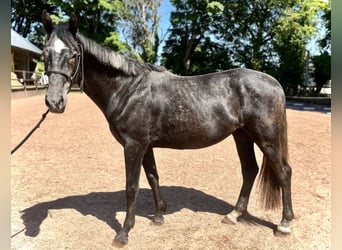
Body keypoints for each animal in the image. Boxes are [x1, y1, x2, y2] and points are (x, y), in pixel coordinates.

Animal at [42, 10, 294, 246]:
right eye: (45, 53)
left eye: (74, 55)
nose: (54, 102)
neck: (128, 89)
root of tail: (274, 83)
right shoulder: (145, 145)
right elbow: (153, 176)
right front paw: (159, 216)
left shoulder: (133, 145)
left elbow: (131, 186)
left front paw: (124, 232)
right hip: (242, 136)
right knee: (249, 170)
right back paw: (233, 215)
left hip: (267, 138)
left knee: (283, 172)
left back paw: (284, 224)